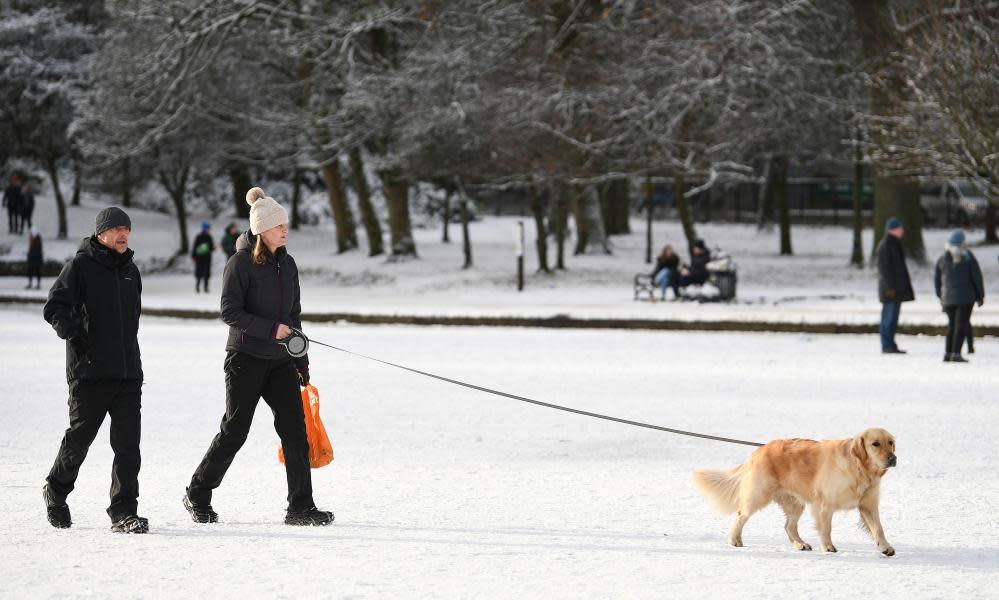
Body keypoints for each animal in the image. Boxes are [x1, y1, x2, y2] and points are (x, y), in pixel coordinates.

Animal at [696, 428, 900, 556]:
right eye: (875, 444)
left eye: (890, 442)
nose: (893, 458)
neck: (859, 468)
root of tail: (758, 451)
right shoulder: (825, 505)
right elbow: (826, 528)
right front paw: (828, 547)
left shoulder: (868, 505)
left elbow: (878, 528)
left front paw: (886, 547)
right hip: (758, 495)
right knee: (740, 515)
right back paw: (734, 540)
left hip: (795, 502)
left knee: (789, 526)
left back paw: (800, 544)